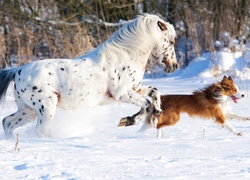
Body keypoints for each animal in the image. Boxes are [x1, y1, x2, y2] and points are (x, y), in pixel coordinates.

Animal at [0, 13, 179, 138]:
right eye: (171, 41)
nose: (174, 66)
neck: (125, 55)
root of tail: (17, 71)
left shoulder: (134, 88)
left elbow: (154, 92)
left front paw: (155, 112)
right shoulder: (122, 94)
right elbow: (146, 103)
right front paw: (129, 121)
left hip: (28, 110)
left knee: (7, 122)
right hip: (46, 106)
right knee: (40, 131)